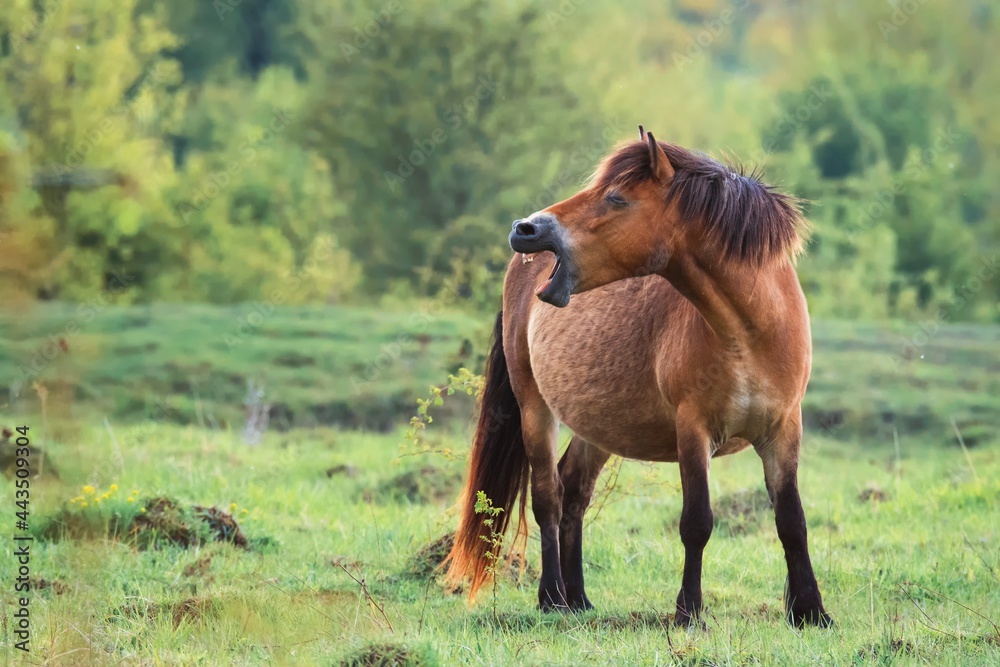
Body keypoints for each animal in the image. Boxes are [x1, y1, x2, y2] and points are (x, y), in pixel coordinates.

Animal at [444, 127, 831, 628]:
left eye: (615, 198)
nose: (525, 228)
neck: (750, 331)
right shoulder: (694, 430)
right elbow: (697, 523)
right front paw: (689, 612)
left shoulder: (783, 430)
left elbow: (792, 522)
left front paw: (811, 611)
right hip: (535, 409)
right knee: (548, 496)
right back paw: (552, 597)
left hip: (597, 428)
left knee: (574, 491)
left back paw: (578, 599)